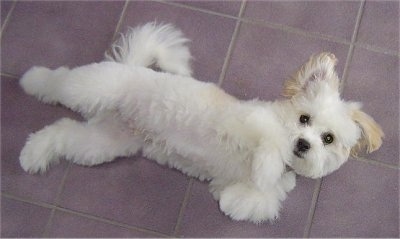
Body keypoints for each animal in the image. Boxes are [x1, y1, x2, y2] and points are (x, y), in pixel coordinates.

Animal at [18, 21, 384, 223]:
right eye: (303, 118)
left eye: (328, 139)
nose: (303, 143)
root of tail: (133, 67)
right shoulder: (251, 120)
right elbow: (270, 141)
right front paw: (268, 164)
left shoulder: (253, 196)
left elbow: (249, 200)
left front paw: (250, 186)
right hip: (93, 87)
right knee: (60, 81)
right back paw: (32, 79)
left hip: (103, 144)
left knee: (61, 132)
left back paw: (34, 155)